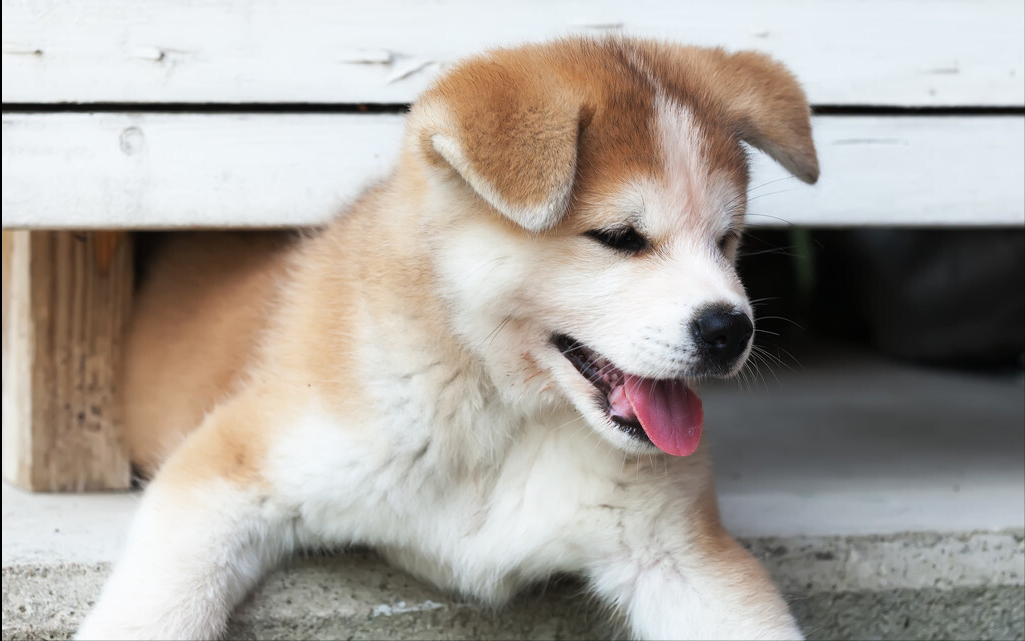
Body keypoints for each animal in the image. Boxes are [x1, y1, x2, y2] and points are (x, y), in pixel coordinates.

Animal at [75, 37, 820, 635]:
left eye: (727, 239)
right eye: (619, 238)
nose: (730, 330)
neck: (494, 410)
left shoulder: (677, 552)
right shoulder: (233, 464)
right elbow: (159, 600)